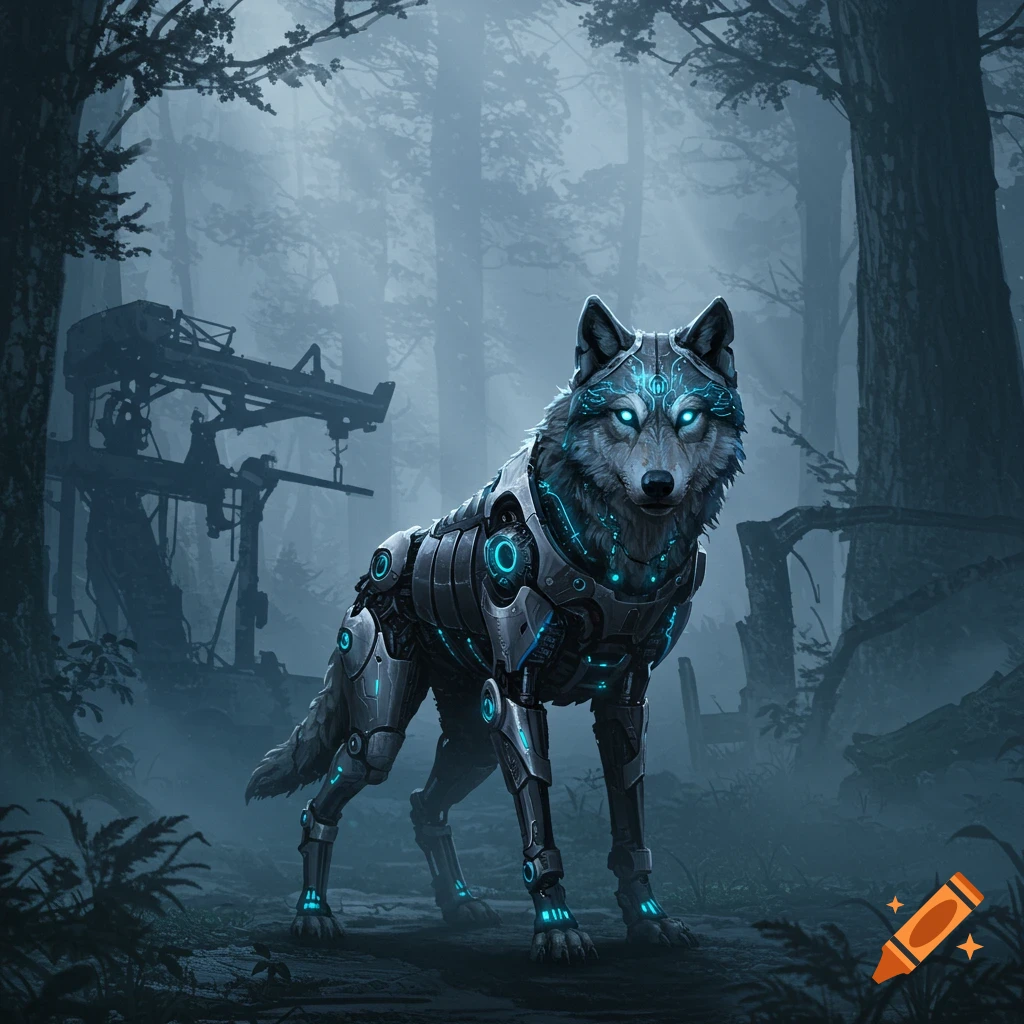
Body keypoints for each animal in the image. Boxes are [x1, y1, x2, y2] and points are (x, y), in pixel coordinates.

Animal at [246, 294, 744, 964]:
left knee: (423, 805)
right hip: (384, 730)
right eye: (624, 416)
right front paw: (557, 925)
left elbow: (630, 814)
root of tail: (374, 565)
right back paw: (312, 914)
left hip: (472, 742)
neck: (623, 551)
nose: (659, 485)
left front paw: (648, 918)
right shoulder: (516, 693)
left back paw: (457, 904)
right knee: (326, 797)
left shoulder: (623, 699)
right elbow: (540, 822)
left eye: (689, 417)